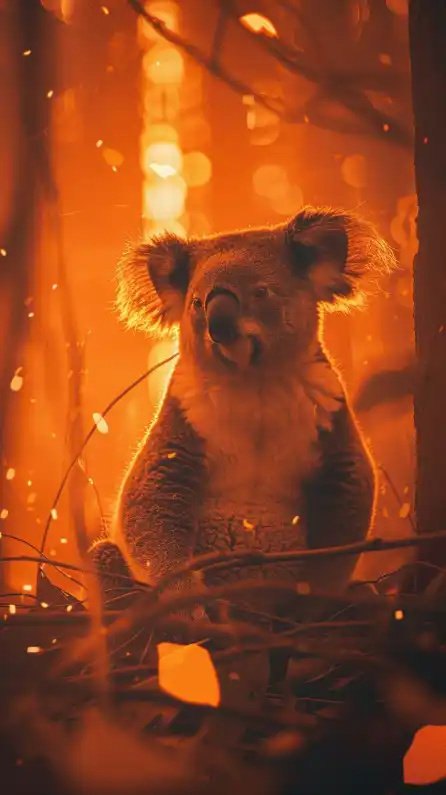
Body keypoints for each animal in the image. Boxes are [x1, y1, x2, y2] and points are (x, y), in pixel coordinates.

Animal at [90, 206, 395, 617]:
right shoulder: (183, 425)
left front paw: (311, 601)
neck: (254, 383)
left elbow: (345, 508)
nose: (219, 326)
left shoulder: (330, 421)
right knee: (105, 558)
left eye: (261, 292)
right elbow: (152, 503)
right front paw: (189, 604)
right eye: (197, 303)